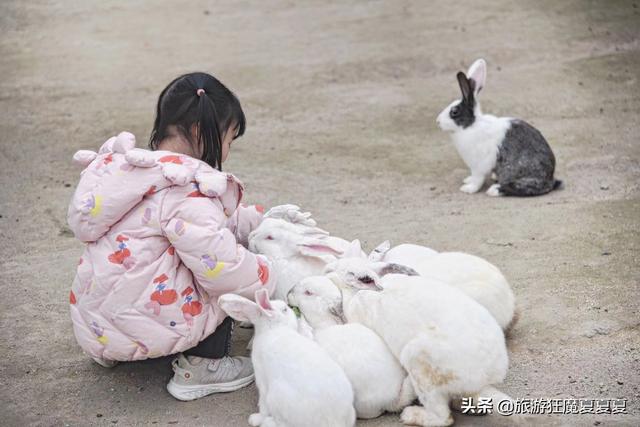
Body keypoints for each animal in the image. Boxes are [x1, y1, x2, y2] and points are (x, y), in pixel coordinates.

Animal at [219, 290, 356, 427]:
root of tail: (335, 421)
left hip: (276, 396)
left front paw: (255, 418)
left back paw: (265, 421)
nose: (291, 308)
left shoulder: (262, 382)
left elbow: (263, 406)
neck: (274, 329)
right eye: (285, 309)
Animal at [436, 58, 560, 197]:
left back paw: (495, 189)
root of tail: (551, 178)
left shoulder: (479, 165)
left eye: (454, 112)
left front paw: (468, 188)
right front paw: (467, 180)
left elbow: (477, 180)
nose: (437, 121)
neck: (471, 126)